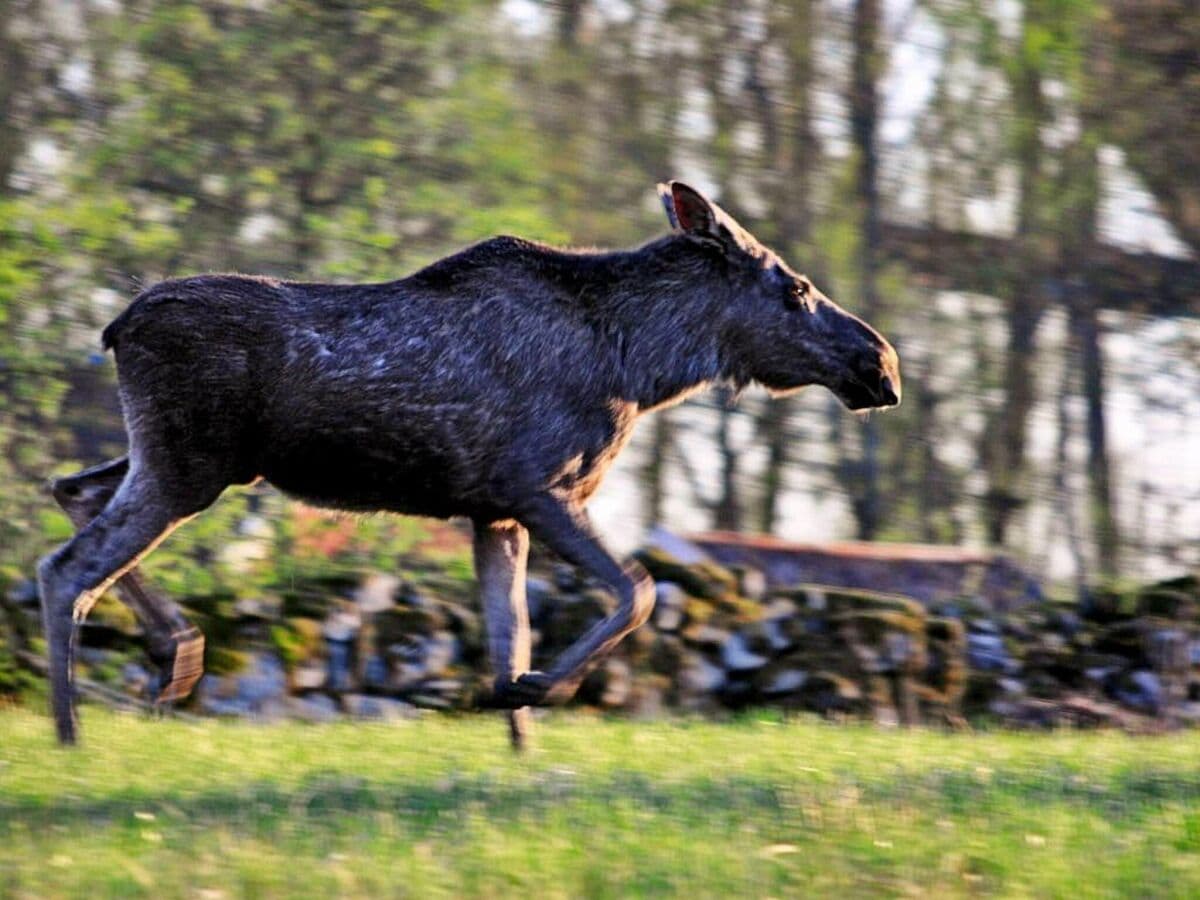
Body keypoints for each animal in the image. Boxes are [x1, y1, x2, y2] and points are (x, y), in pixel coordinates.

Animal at [37, 181, 902, 748]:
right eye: (795, 287)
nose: (881, 363)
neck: (642, 367)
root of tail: (115, 327)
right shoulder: (536, 487)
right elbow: (639, 590)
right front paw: (540, 689)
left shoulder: (494, 513)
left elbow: (506, 636)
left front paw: (517, 739)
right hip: (188, 463)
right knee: (65, 567)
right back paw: (74, 728)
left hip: (191, 461)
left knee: (71, 488)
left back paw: (174, 654)